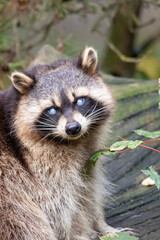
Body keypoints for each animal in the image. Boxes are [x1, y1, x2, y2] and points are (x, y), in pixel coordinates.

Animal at [0, 47, 121, 240]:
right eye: (52, 110)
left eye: (80, 100)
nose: (73, 128)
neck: (76, 141)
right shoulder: (39, 167)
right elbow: (58, 207)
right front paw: (78, 233)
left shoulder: (89, 158)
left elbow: (88, 191)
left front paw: (102, 224)